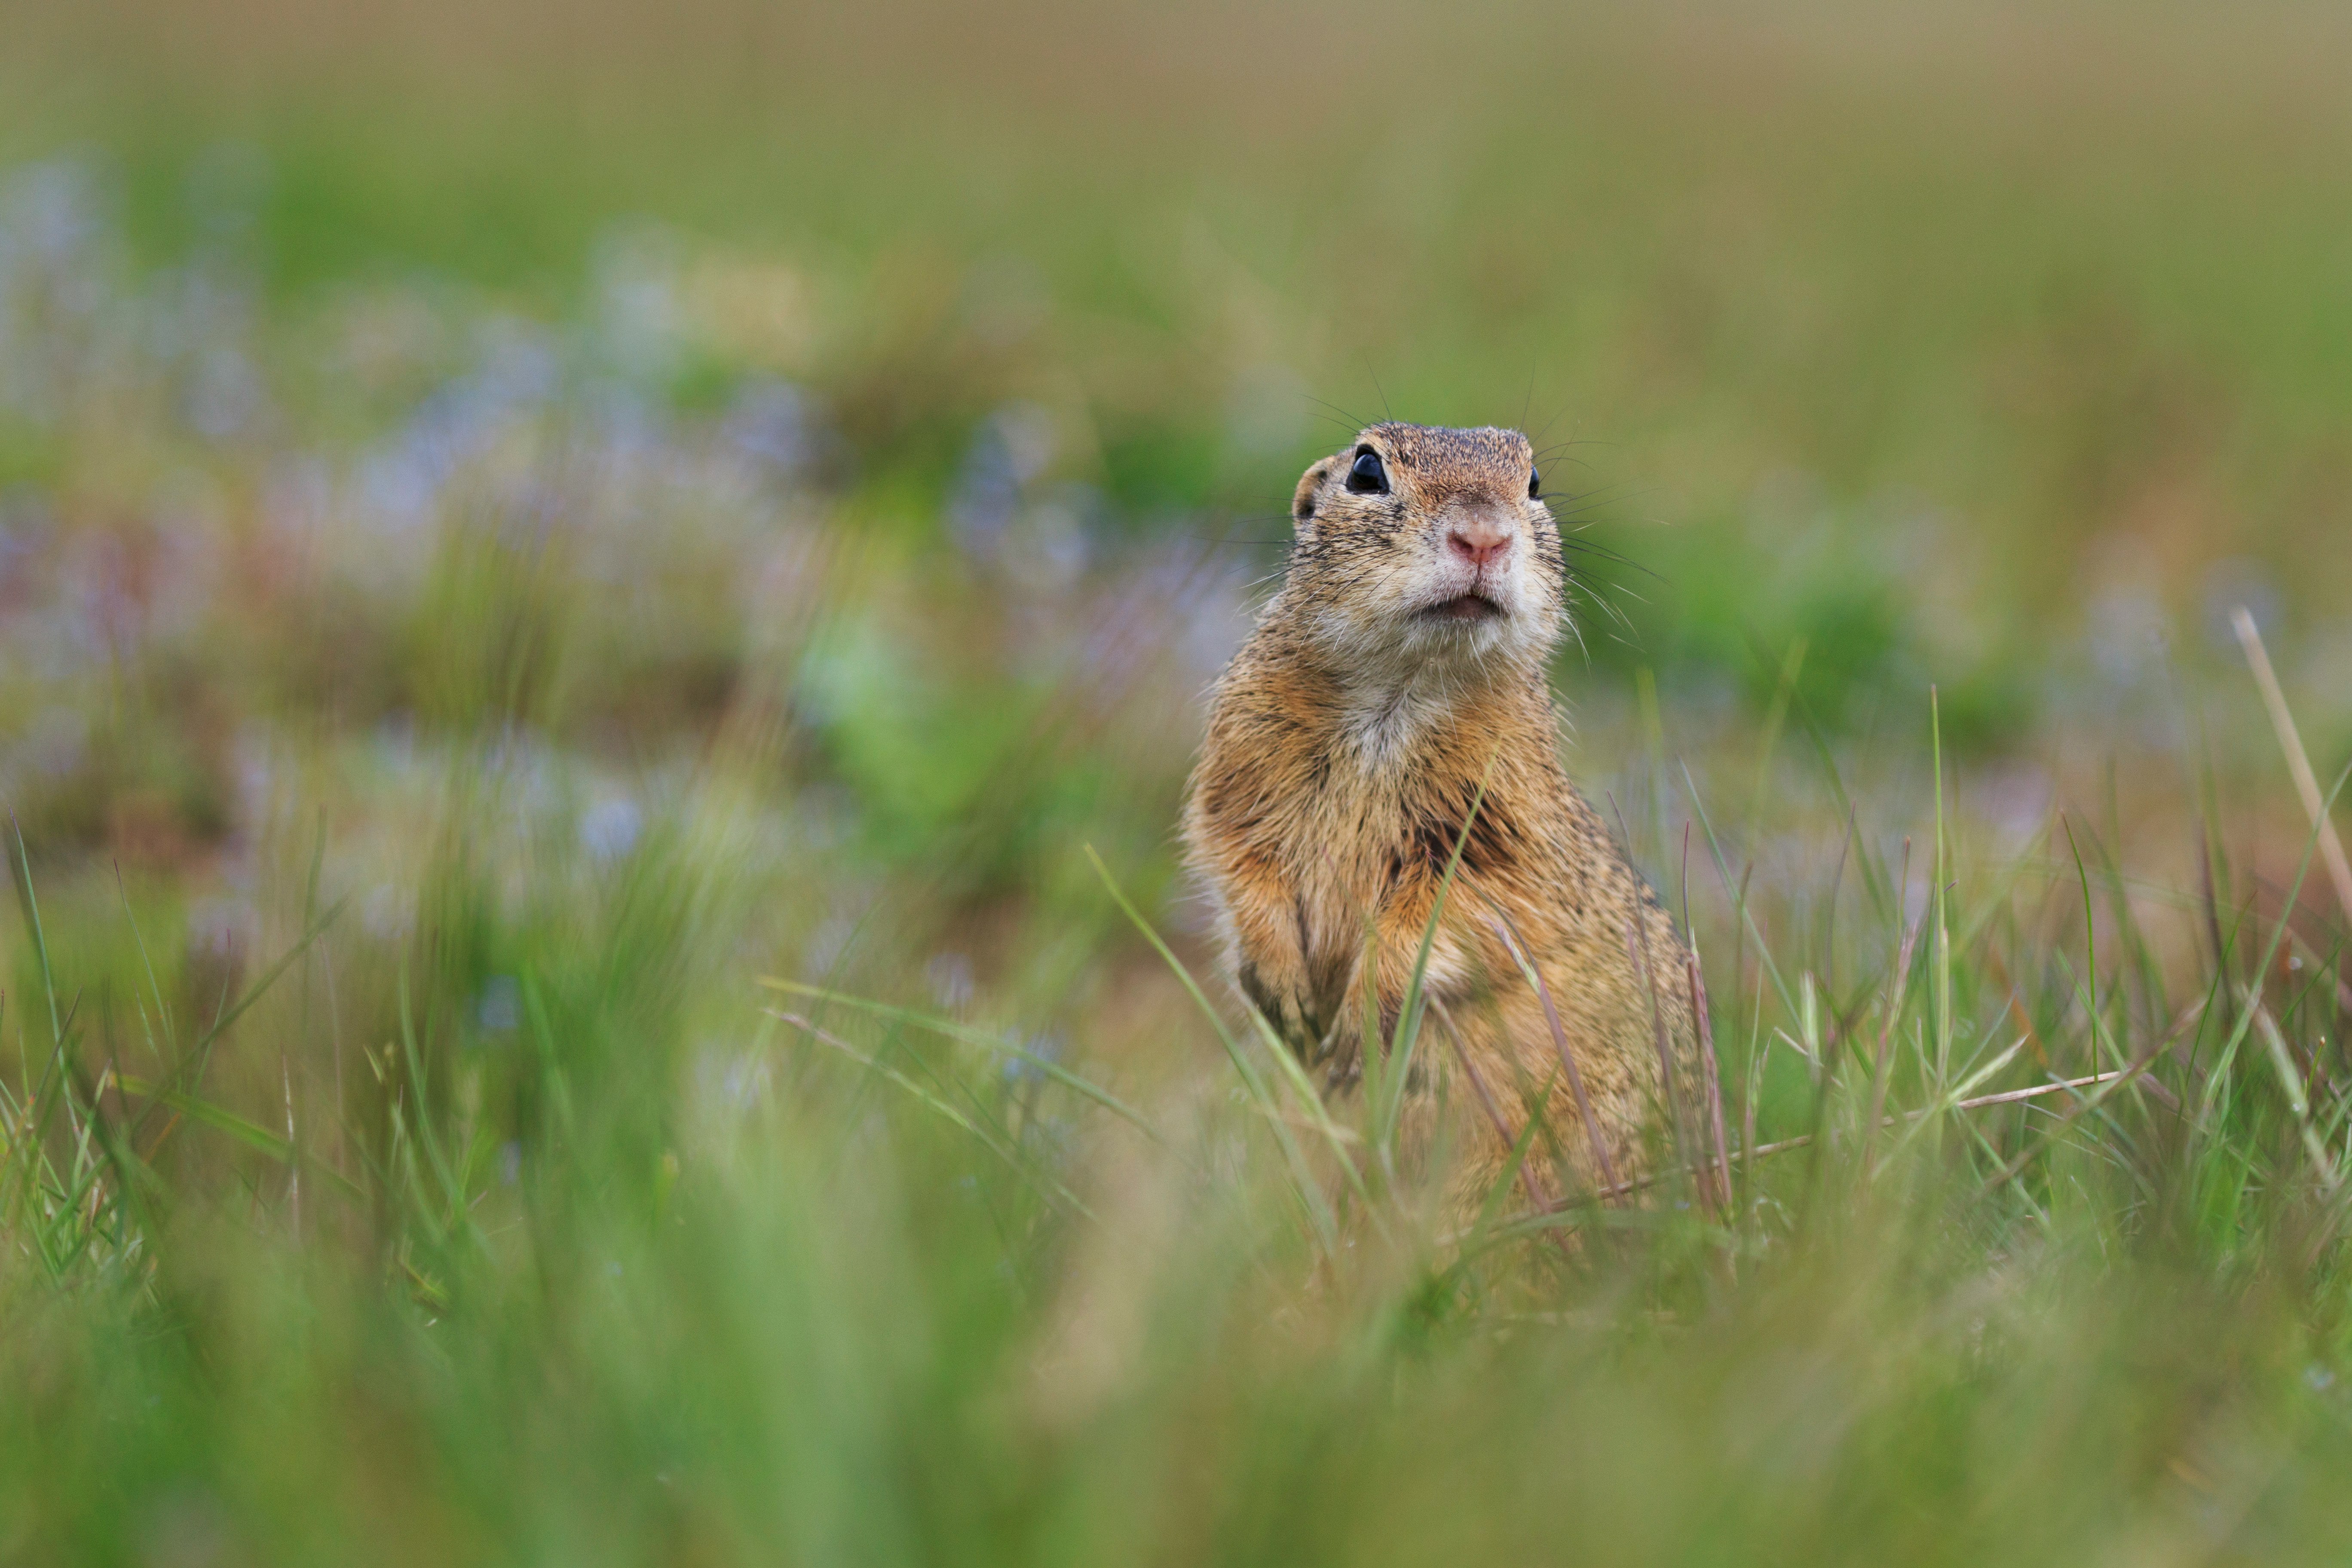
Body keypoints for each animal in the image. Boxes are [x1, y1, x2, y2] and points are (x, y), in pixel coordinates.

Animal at [1185, 420, 1703, 1213]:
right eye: (1366, 472)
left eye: (1533, 482)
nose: (1483, 538)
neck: (1401, 687)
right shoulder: (1238, 770)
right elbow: (1239, 860)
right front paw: (1285, 994)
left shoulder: (1509, 829)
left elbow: (1462, 911)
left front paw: (1358, 1024)